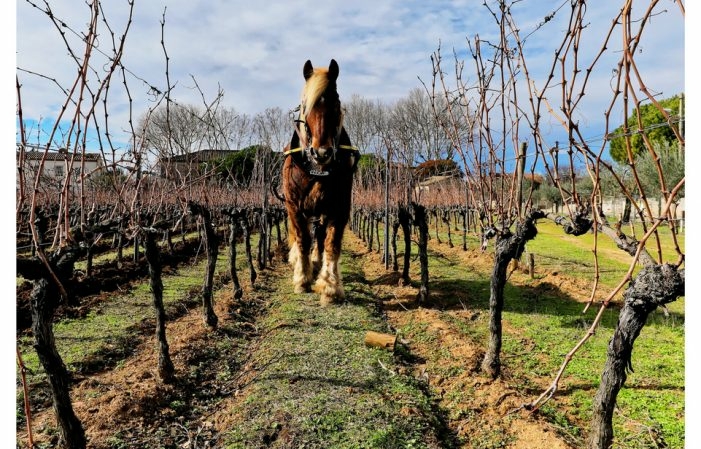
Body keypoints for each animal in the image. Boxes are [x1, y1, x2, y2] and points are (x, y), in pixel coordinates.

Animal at [280, 59, 358, 304]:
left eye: (336, 101)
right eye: (306, 105)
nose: (322, 153)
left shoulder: (339, 207)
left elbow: (331, 244)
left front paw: (330, 286)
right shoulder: (294, 206)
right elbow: (303, 239)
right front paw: (302, 279)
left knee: (321, 236)